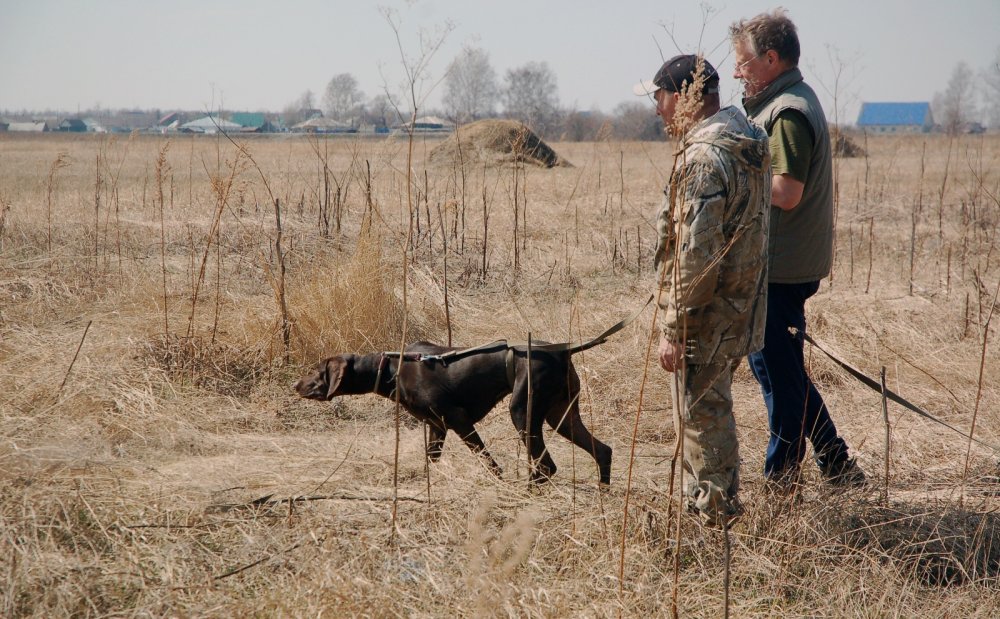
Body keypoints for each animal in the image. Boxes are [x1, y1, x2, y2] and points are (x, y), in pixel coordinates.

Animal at [292, 342, 612, 486]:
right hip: (561, 416)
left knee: (546, 466)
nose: (295, 385)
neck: (391, 370)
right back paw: (603, 490)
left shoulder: (459, 419)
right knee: (603, 450)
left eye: (317, 371)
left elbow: (489, 462)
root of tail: (563, 350)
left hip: (523, 412)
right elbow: (431, 460)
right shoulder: (437, 427)